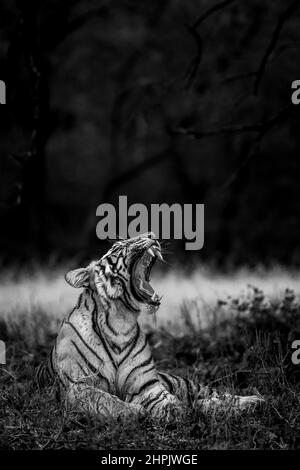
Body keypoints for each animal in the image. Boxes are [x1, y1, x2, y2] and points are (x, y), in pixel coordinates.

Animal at [36, 233, 264, 420]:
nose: (151, 234)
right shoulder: (79, 386)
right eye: (119, 245)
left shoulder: (147, 386)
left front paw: (178, 410)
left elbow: (168, 401)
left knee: (216, 394)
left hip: (183, 382)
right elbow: (106, 400)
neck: (120, 322)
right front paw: (136, 411)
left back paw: (252, 401)